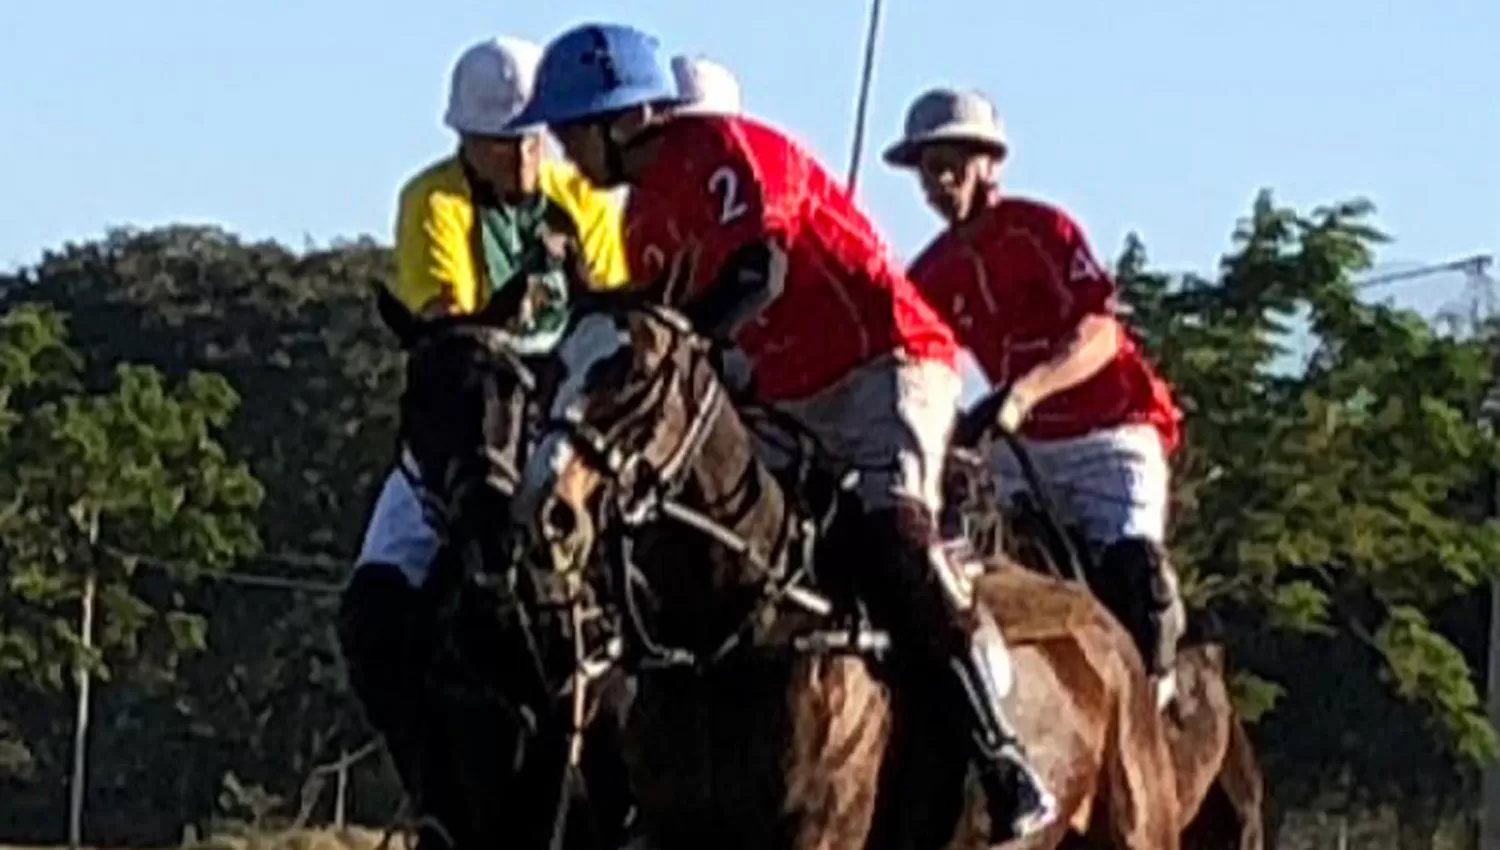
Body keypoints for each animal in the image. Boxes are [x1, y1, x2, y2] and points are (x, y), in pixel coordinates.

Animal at [516, 304, 1182, 850]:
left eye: (635, 373)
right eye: (552, 369)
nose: (546, 513)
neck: (730, 632)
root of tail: (1106, 624)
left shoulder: (817, 834)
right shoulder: (666, 830)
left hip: (1138, 828)